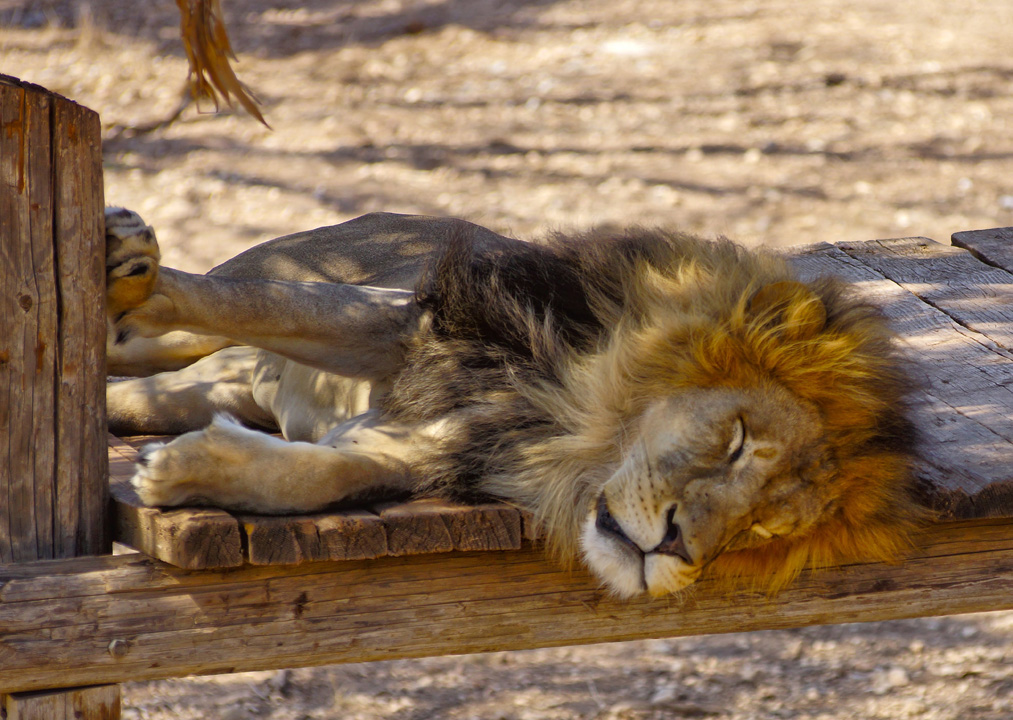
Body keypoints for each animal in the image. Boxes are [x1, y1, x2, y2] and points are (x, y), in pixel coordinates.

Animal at [106, 206, 923, 595]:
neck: (563, 419)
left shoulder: (433, 447)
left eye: (761, 529)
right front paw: (136, 272)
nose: (674, 547)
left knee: (154, 394)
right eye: (737, 444)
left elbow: (323, 475)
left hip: (215, 383)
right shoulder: (411, 323)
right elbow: (263, 303)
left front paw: (189, 470)